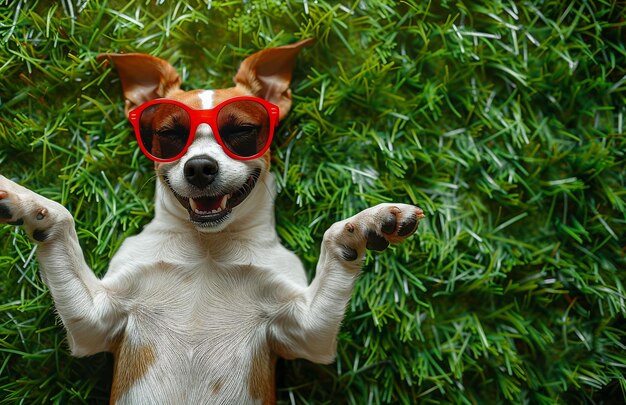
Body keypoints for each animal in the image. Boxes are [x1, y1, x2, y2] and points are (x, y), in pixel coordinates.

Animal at [0, 38, 424, 404]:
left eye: (241, 131)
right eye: (170, 134)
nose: (200, 166)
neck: (208, 246)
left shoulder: (309, 332)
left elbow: (334, 236)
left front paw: (368, 222)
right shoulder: (94, 322)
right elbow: (61, 216)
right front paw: (21, 198)